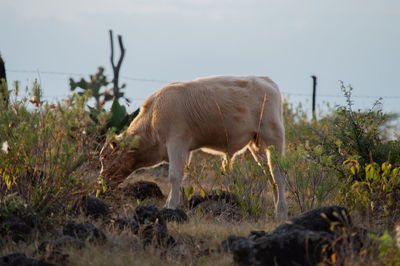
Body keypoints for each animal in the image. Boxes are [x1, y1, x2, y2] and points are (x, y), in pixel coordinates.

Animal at [99, 75, 288, 220]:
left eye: (105, 157)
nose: (101, 181)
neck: (151, 119)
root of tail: (265, 80)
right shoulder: (184, 149)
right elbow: (180, 176)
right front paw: (170, 203)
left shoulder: (176, 143)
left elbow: (174, 176)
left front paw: (171, 206)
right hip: (256, 145)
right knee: (270, 175)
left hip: (273, 137)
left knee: (278, 174)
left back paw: (281, 212)